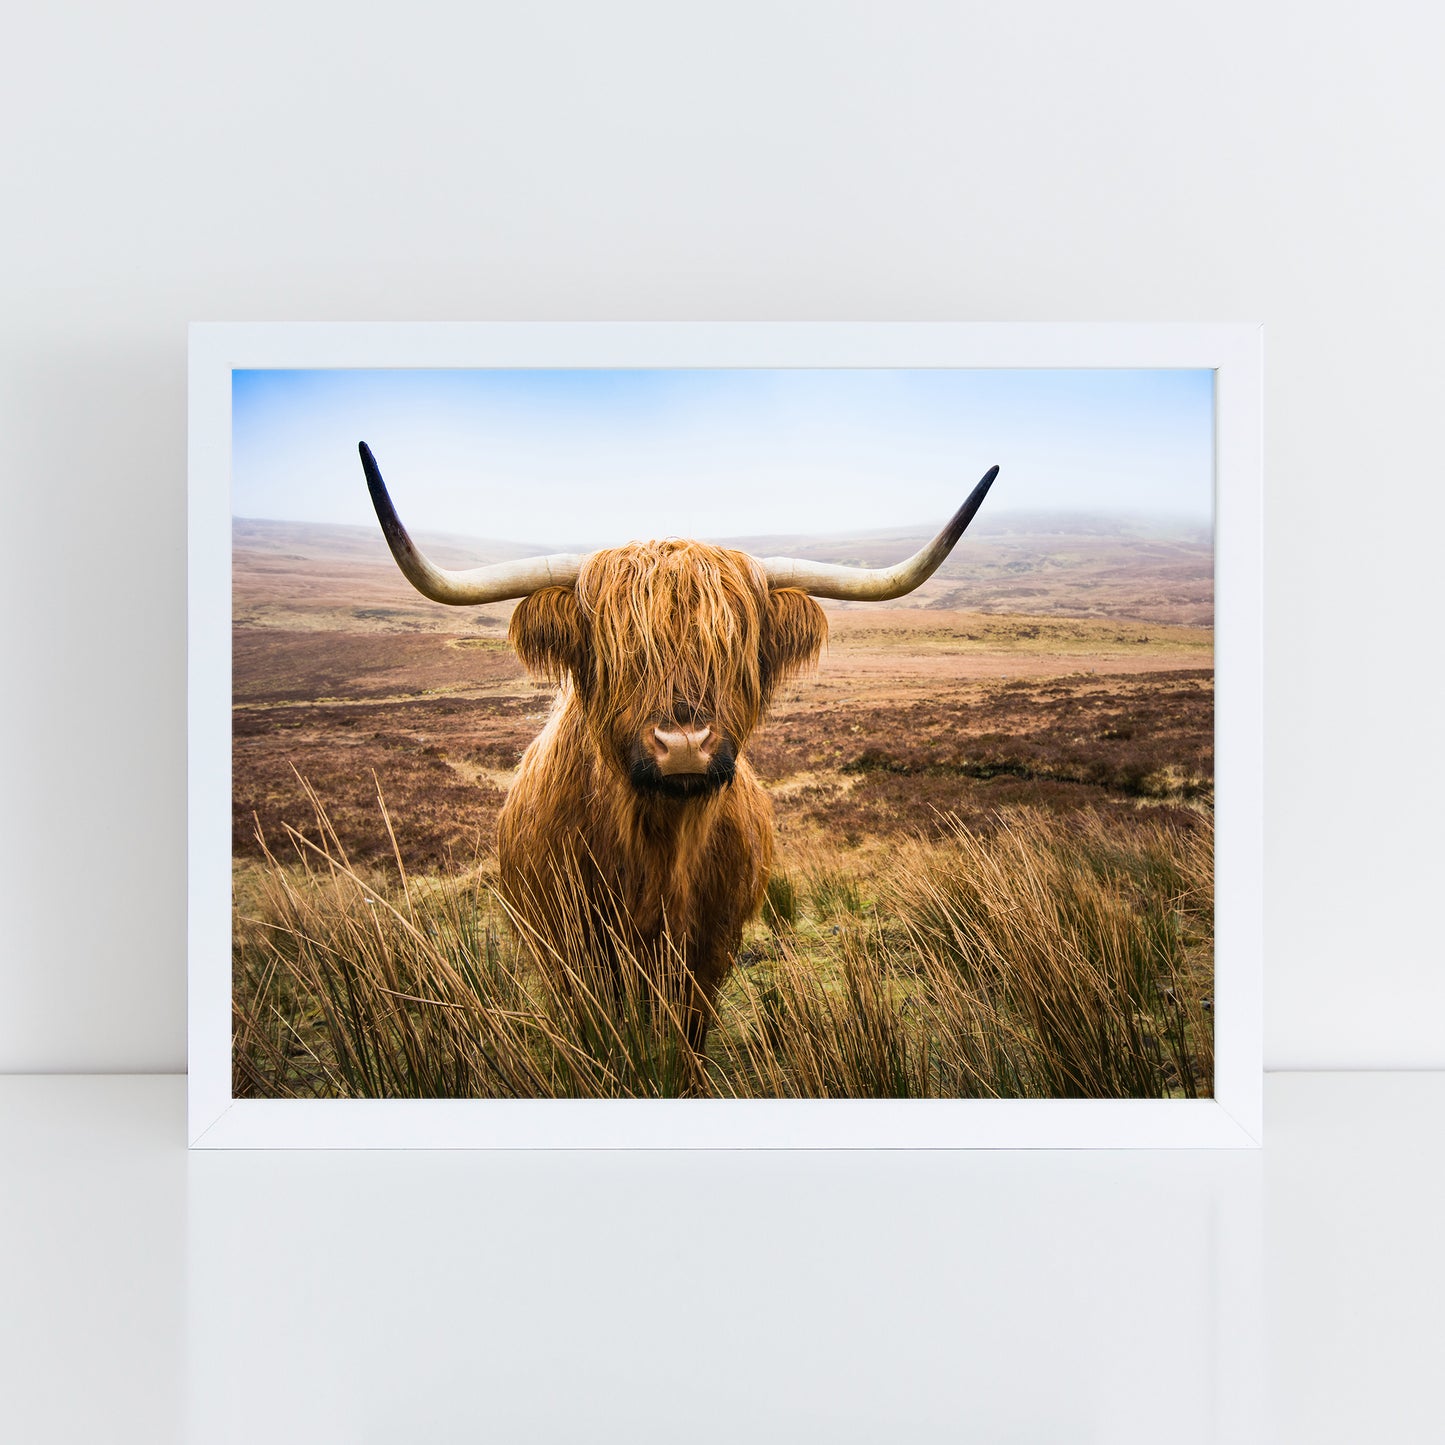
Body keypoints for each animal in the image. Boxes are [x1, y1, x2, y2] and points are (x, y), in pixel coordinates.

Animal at [358, 442, 998, 1053]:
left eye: (734, 646)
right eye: (617, 650)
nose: (684, 744)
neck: (657, 850)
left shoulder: (710, 952)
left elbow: (686, 1039)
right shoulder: (572, 952)